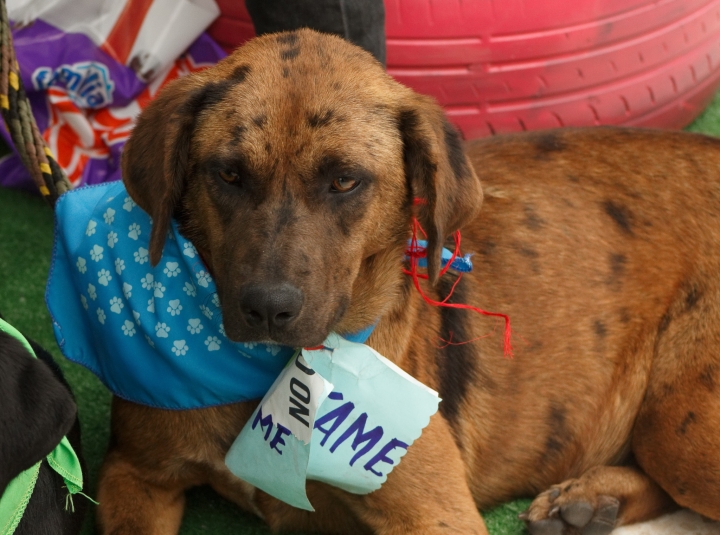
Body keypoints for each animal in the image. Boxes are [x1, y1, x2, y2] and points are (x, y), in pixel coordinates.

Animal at [95, 29, 720, 535]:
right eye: (227, 174)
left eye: (344, 181)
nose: (268, 309)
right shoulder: (133, 472)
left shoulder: (435, 515)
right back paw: (589, 502)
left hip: (679, 431)